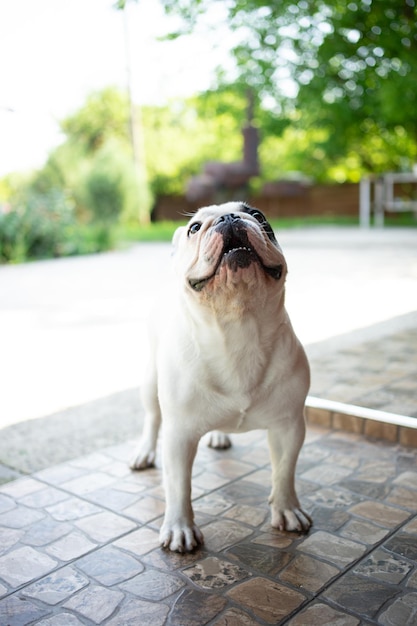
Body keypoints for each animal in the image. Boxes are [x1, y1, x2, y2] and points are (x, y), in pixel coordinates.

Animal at [132, 202, 310, 548]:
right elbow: (179, 485)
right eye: (194, 228)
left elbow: (284, 471)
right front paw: (180, 528)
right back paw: (144, 452)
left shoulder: (289, 425)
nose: (229, 218)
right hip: (149, 380)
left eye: (258, 215)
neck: (237, 324)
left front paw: (287, 509)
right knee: (151, 418)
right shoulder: (179, 435)